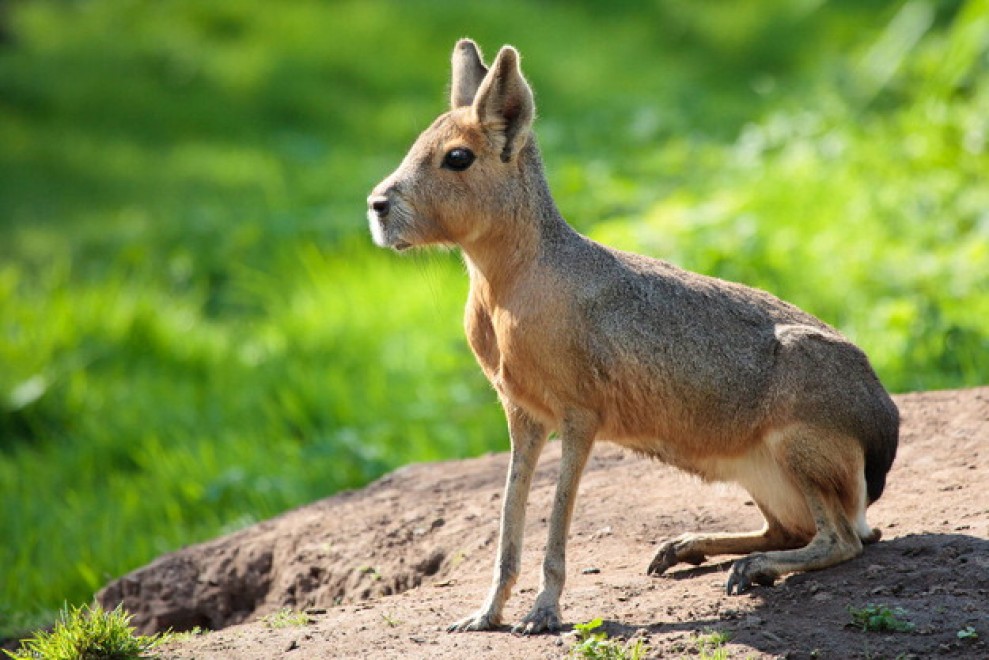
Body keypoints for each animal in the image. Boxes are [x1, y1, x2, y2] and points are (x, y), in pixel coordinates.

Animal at [366, 39, 899, 635]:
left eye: (458, 157)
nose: (377, 207)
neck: (511, 285)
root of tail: (882, 435)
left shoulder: (580, 415)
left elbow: (556, 519)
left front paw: (544, 612)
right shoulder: (522, 415)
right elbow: (508, 517)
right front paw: (485, 614)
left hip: (800, 446)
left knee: (843, 540)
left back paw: (752, 568)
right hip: (759, 474)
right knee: (793, 530)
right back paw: (686, 548)